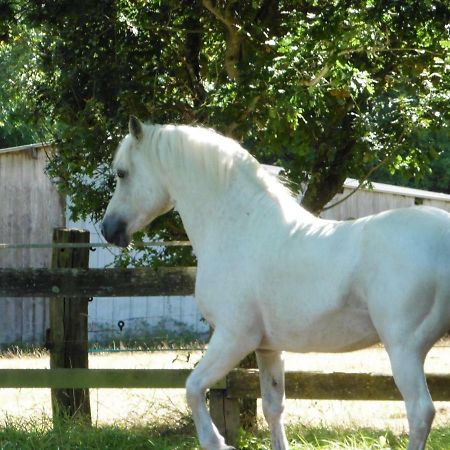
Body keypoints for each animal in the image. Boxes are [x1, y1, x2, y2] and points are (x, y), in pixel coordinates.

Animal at [101, 117, 450, 450]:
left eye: (122, 173)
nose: (108, 230)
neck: (241, 226)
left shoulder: (233, 338)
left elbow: (192, 387)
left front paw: (218, 443)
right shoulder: (268, 348)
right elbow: (273, 408)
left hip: (404, 348)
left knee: (420, 411)